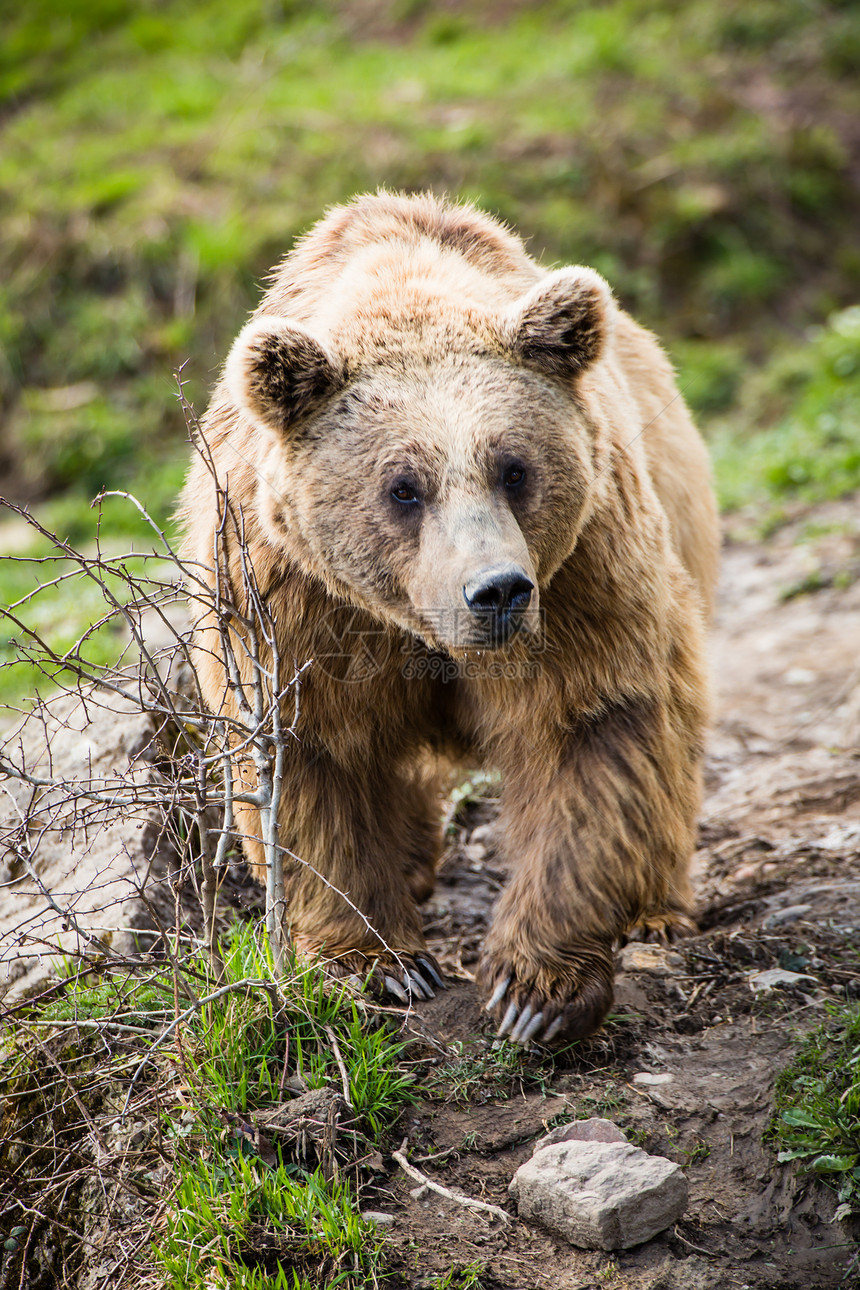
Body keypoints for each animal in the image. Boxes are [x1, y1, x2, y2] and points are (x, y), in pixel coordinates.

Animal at [181, 190, 722, 1042]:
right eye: (403, 486)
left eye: (515, 468)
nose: (496, 590)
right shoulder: (294, 604)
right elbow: (309, 760)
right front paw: (378, 963)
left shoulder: (581, 575)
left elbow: (592, 731)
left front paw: (534, 990)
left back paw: (656, 911)